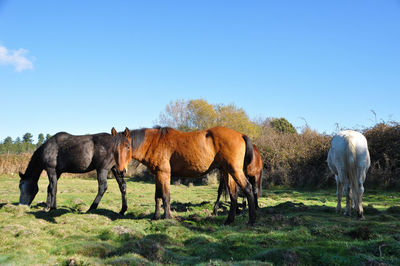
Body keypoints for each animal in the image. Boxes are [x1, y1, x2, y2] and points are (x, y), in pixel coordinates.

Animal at [130, 126, 258, 224]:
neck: (155, 142)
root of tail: (241, 135)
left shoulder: (163, 174)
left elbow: (165, 196)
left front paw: (167, 217)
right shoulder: (157, 175)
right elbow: (158, 196)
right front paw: (155, 217)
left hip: (235, 171)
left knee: (248, 188)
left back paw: (251, 220)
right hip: (227, 172)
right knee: (233, 194)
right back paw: (229, 221)